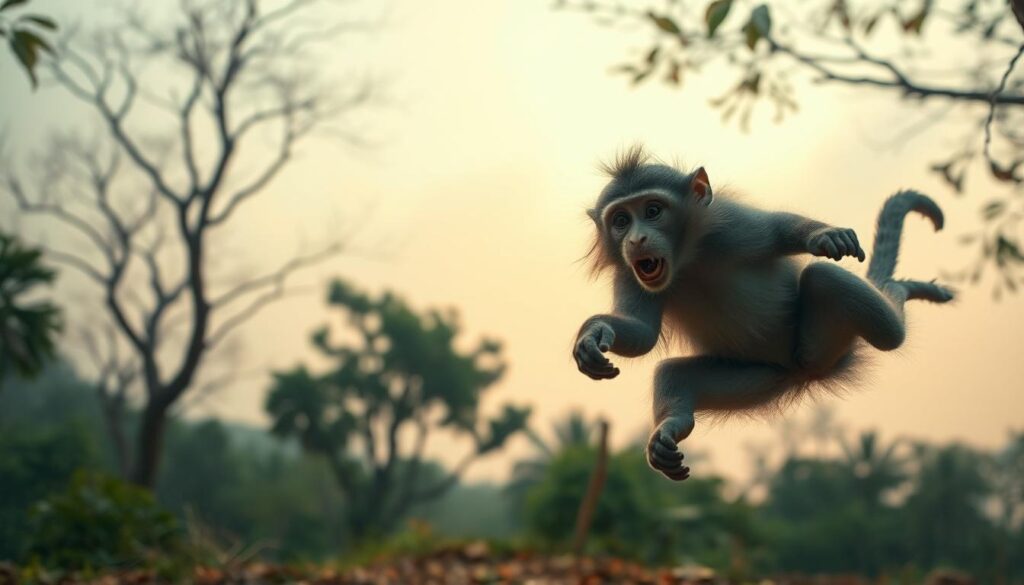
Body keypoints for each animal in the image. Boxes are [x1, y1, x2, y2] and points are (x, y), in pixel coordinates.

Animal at [572, 146, 954, 481]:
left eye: (653, 210)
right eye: (621, 220)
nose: (635, 240)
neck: (686, 259)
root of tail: (799, 373)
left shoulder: (729, 223)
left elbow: (777, 230)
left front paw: (823, 235)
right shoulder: (629, 270)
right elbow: (642, 334)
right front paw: (593, 335)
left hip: (817, 346)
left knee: (864, 311)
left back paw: (898, 288)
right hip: (756, 376)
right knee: (673, 374)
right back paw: (669, 431)